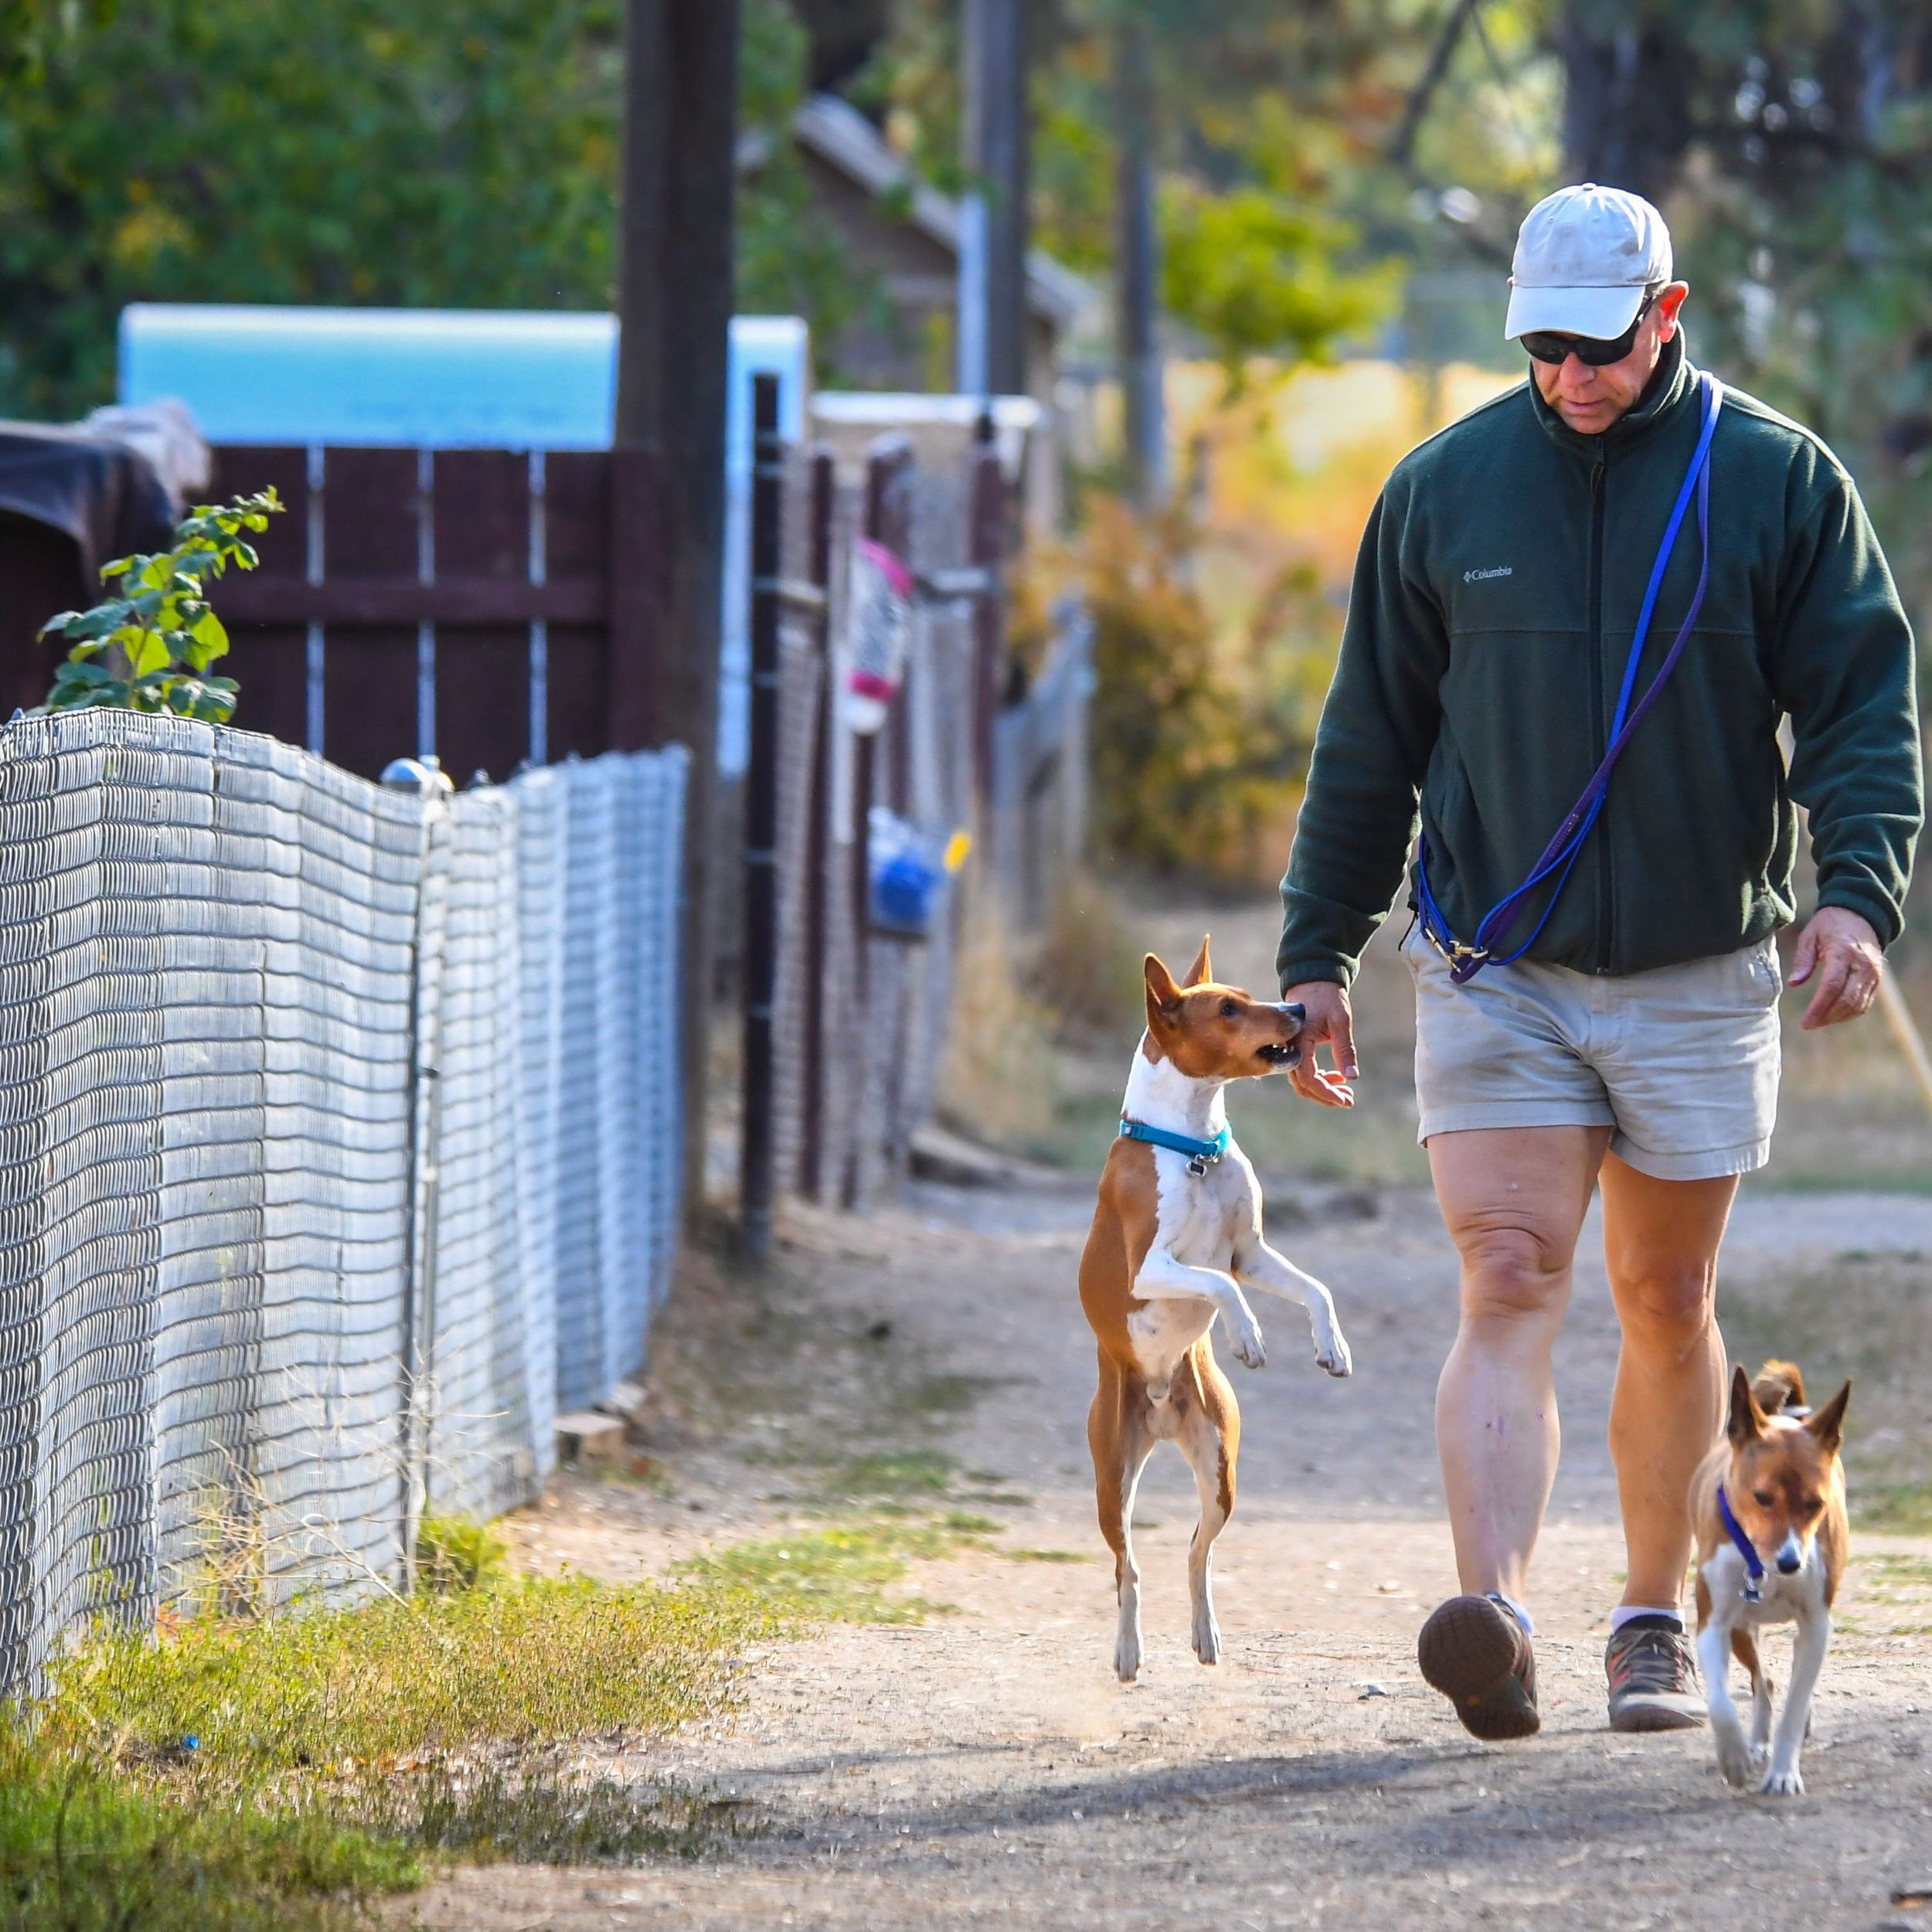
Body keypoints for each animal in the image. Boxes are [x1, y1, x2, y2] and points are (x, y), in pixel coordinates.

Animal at [1082, 935, 1352, 1677]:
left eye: (1251, 996)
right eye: (1228, 1009)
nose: (1299, 1008)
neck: (1194, 1147)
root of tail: (1158, 1408)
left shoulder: (1249, 1254)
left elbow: (1315, 1288)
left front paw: (1332, 1346)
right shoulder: (1152, 1270)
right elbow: (1220, 1289)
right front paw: (1248, 1336)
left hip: (1220, 1470)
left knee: (1196, 1553)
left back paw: (1205, 1635)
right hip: (1112, 1480)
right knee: (1127, 1569)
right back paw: (1127, 1650)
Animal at [1692, 1360, 1855, 1793]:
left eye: (1816, 1504)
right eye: (1762, 1498)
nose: (1790, 1563)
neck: (1763, 1565)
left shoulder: (1816, 1626)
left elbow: (1795, 1710)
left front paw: (1783, 1772)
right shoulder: (1714, 1625)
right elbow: (1720, 1703)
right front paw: (1733, 1758)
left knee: (1790, 1686)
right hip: (1742, 1631)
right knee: (1763, 1683)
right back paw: (1755, 1744)